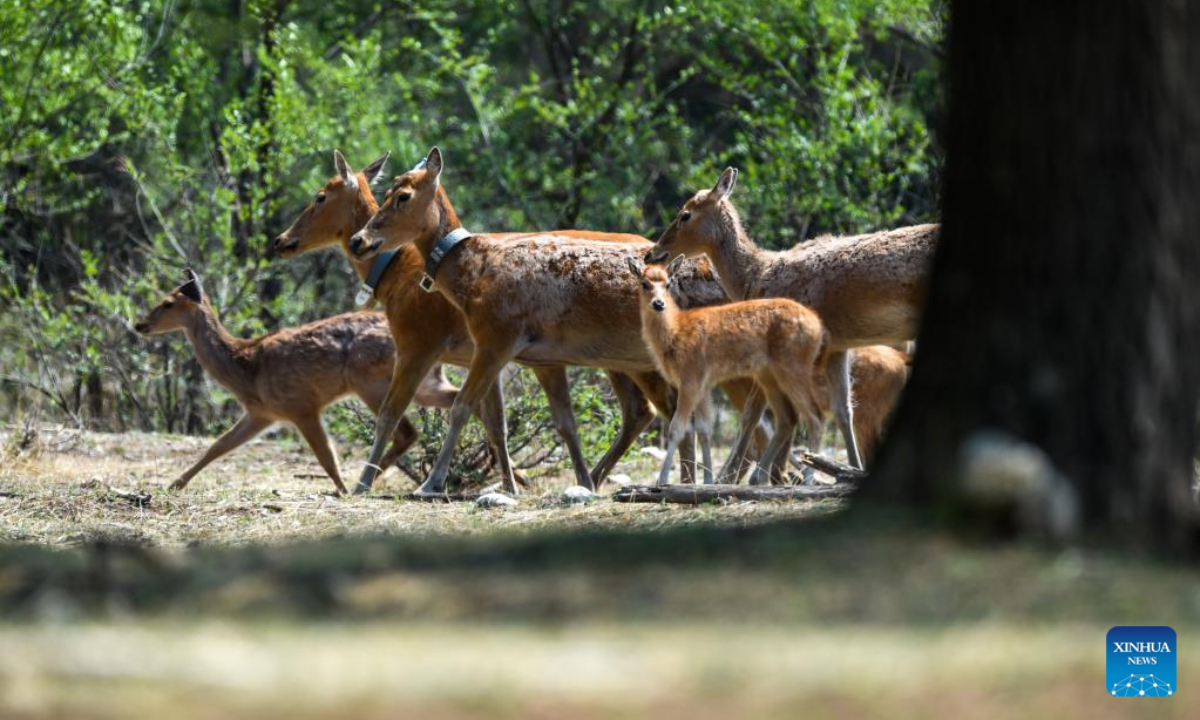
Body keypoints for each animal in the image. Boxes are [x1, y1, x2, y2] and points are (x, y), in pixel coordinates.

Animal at [133, 269, 456, 494]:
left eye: (168, 303)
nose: (139, 324)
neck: (246, 368)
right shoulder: (262, 413)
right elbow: (219, 445)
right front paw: (174, 484)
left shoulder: (301, 406)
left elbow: (326, 455)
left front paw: (340, 491)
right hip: (425, 382)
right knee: (452, 403)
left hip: (370, 380)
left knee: (404, 430)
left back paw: (364, 481)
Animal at [274, 151, 749, 494]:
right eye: (386, 191)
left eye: (320, 195)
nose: (360, 240)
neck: (397, 276)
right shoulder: (524, 356)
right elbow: (513, 422)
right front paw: (519, 483)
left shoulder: (431, 341)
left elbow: (418, 411)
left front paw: (384, 483)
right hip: (628, 362)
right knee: (656, 412)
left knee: (694, 411)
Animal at [628, 256, 828, 485]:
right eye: (644, 284)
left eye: (668, 284)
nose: (659, 303)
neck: (676, 333)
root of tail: (819, 327)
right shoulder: (703, 383)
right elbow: (704, 429)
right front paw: (707, 480)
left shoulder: (690, 377)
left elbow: (677, 428)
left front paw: (662, 480)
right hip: (768, 375)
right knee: (788, 418)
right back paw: (761, 477)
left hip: (794, 366)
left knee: (816, 416)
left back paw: (808, 480)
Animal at [648, 167, 938, 470]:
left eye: (685, 214)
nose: (653, 253)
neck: (755, 278)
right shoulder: (839, 345)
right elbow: (843, 410)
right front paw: (850, 468)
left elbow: (752, 413)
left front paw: (728, 474)